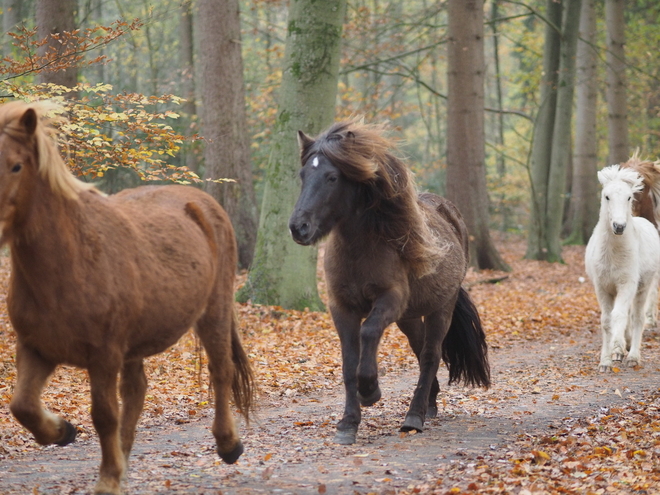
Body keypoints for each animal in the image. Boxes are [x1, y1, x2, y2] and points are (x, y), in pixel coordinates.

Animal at [0, 101, 254, 495]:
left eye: (16, 165)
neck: (70, 262)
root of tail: (202, 201)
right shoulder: (36, 348)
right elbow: (22, 406)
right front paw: (63, 431)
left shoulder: (103, 355)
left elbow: (104, 414)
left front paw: (107, 479)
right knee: (137, 391)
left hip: (214, 310)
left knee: (221, 370)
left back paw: (228, 445)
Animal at [288, 119, 490, 446]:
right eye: (303, 175)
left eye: (332, 177)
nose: (299, 227)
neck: (359, 250)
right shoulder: (341, 307)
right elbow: (348, 363)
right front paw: (348, 423)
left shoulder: (389, 300)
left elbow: (369, 333)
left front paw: (370, 391)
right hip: (409, 318)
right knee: (420, 351)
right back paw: (429, 404)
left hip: (440, 309)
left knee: (431, 355)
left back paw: (414, 416)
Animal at [588, 167, 660, 372]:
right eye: (607, 196)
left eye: (629, 197)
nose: (619, 226)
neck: (613, 254)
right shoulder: (602, 287)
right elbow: (606, 321)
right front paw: (605, 361)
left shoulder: (627, 284)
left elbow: (619, 315)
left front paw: (617, 346)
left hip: (643, 286)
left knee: (637, 317)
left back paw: (633, 356)